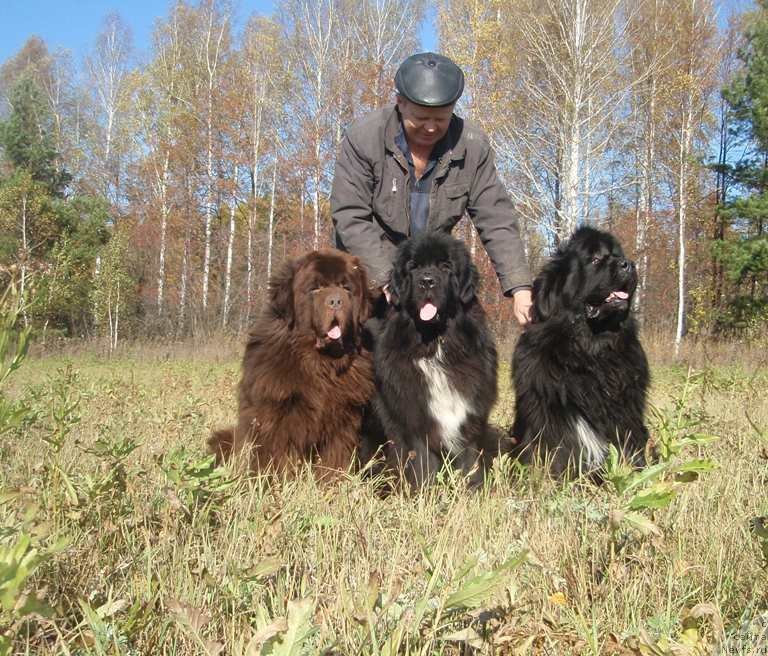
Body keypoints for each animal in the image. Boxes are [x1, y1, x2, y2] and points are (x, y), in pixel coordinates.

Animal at [208, 249, 376, 474]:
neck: (320, 363)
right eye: (316, 288)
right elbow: (275, 455)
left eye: (346, 288)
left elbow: (334, 458)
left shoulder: (343, 419)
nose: (336, 301)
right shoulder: (275, 414)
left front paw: (332, 481)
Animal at [370, 231, 500, 486]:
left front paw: (473, 490)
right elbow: (422, 466)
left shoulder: (469, 420)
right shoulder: (414, 421)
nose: (427, 281)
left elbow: (470, 463)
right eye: (413, 266)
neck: (434, 347)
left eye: (445, 266)